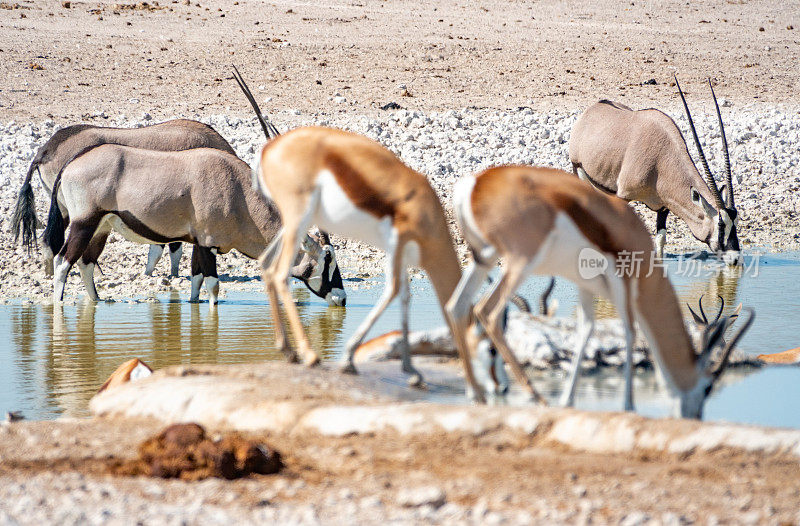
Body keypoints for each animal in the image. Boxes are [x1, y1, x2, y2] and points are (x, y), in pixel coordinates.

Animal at [11, 118, 238, 278]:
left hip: (63, 209)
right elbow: (172, 248)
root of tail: (45, 150)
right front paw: (172, 276)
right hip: (77, 211)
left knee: (48, 239)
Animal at [256, 126, 536, 402]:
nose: (503, 389)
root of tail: (270, 150)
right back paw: (310, 356)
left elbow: (405, 296)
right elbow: (392, 290)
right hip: (298, 218)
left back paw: (289, 351)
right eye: (492, 349)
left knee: (266, 263)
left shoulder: (404, 256)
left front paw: (412, 372)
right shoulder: (398, 243)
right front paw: (348, 361)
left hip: (293, 224)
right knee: (279, 273)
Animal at [446, 166, 752, 420]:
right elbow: (630, 332)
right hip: (519, 262)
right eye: (708, 386)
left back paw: (477, 395)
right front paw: (629, 405)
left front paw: (569, 400)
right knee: (487, 311)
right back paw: (536, 397)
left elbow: (586, 330)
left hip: (484, 258)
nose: (694, 416)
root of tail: (475, 184)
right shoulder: (623, 282)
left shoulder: (585, 284)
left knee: (457, 306)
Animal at [572, 78, 740, 264]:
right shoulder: (623, 196)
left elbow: (660, 239)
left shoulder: (663, 207)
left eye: (736, 222)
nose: (735, 259)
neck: (661, 161)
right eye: (720, 225)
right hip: (578, 169)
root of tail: (593, 108)